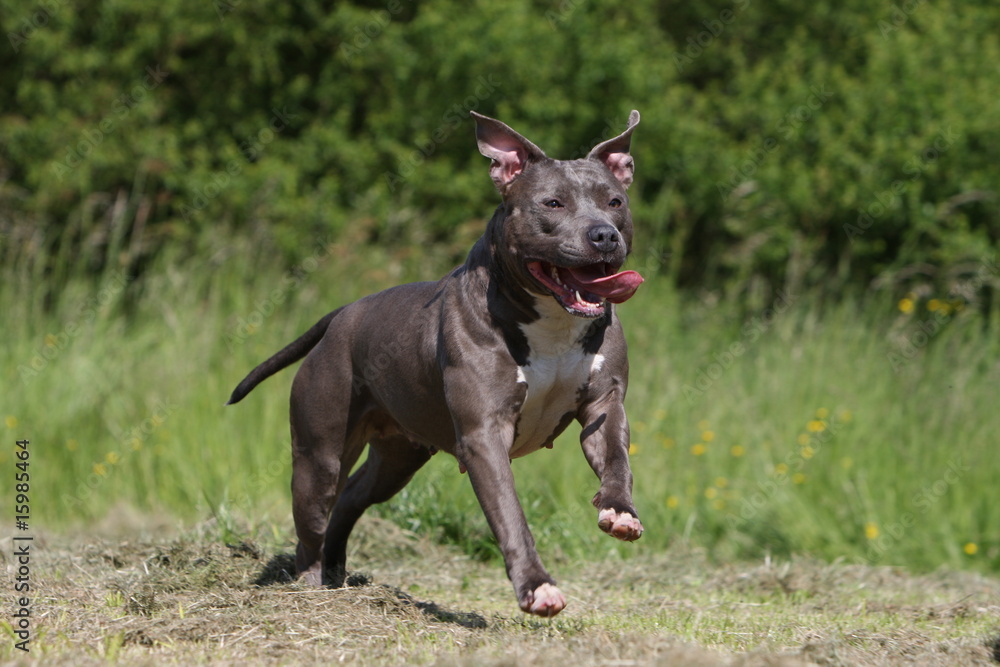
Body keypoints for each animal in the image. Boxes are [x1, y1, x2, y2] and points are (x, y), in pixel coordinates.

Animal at [229, 108, 644, 616]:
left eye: (615, 201)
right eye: (552, 203)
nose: (604, 234)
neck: (552, 322)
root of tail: (342, 315)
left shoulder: (604, 405)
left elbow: (616, 459)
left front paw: (620, 511)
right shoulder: (484, 435)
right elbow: (510, 515)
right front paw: (537, 586)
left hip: (396, 458)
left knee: (351, 499)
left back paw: (337, 576)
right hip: (319, 455)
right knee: (313, 520)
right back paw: (307, 588)